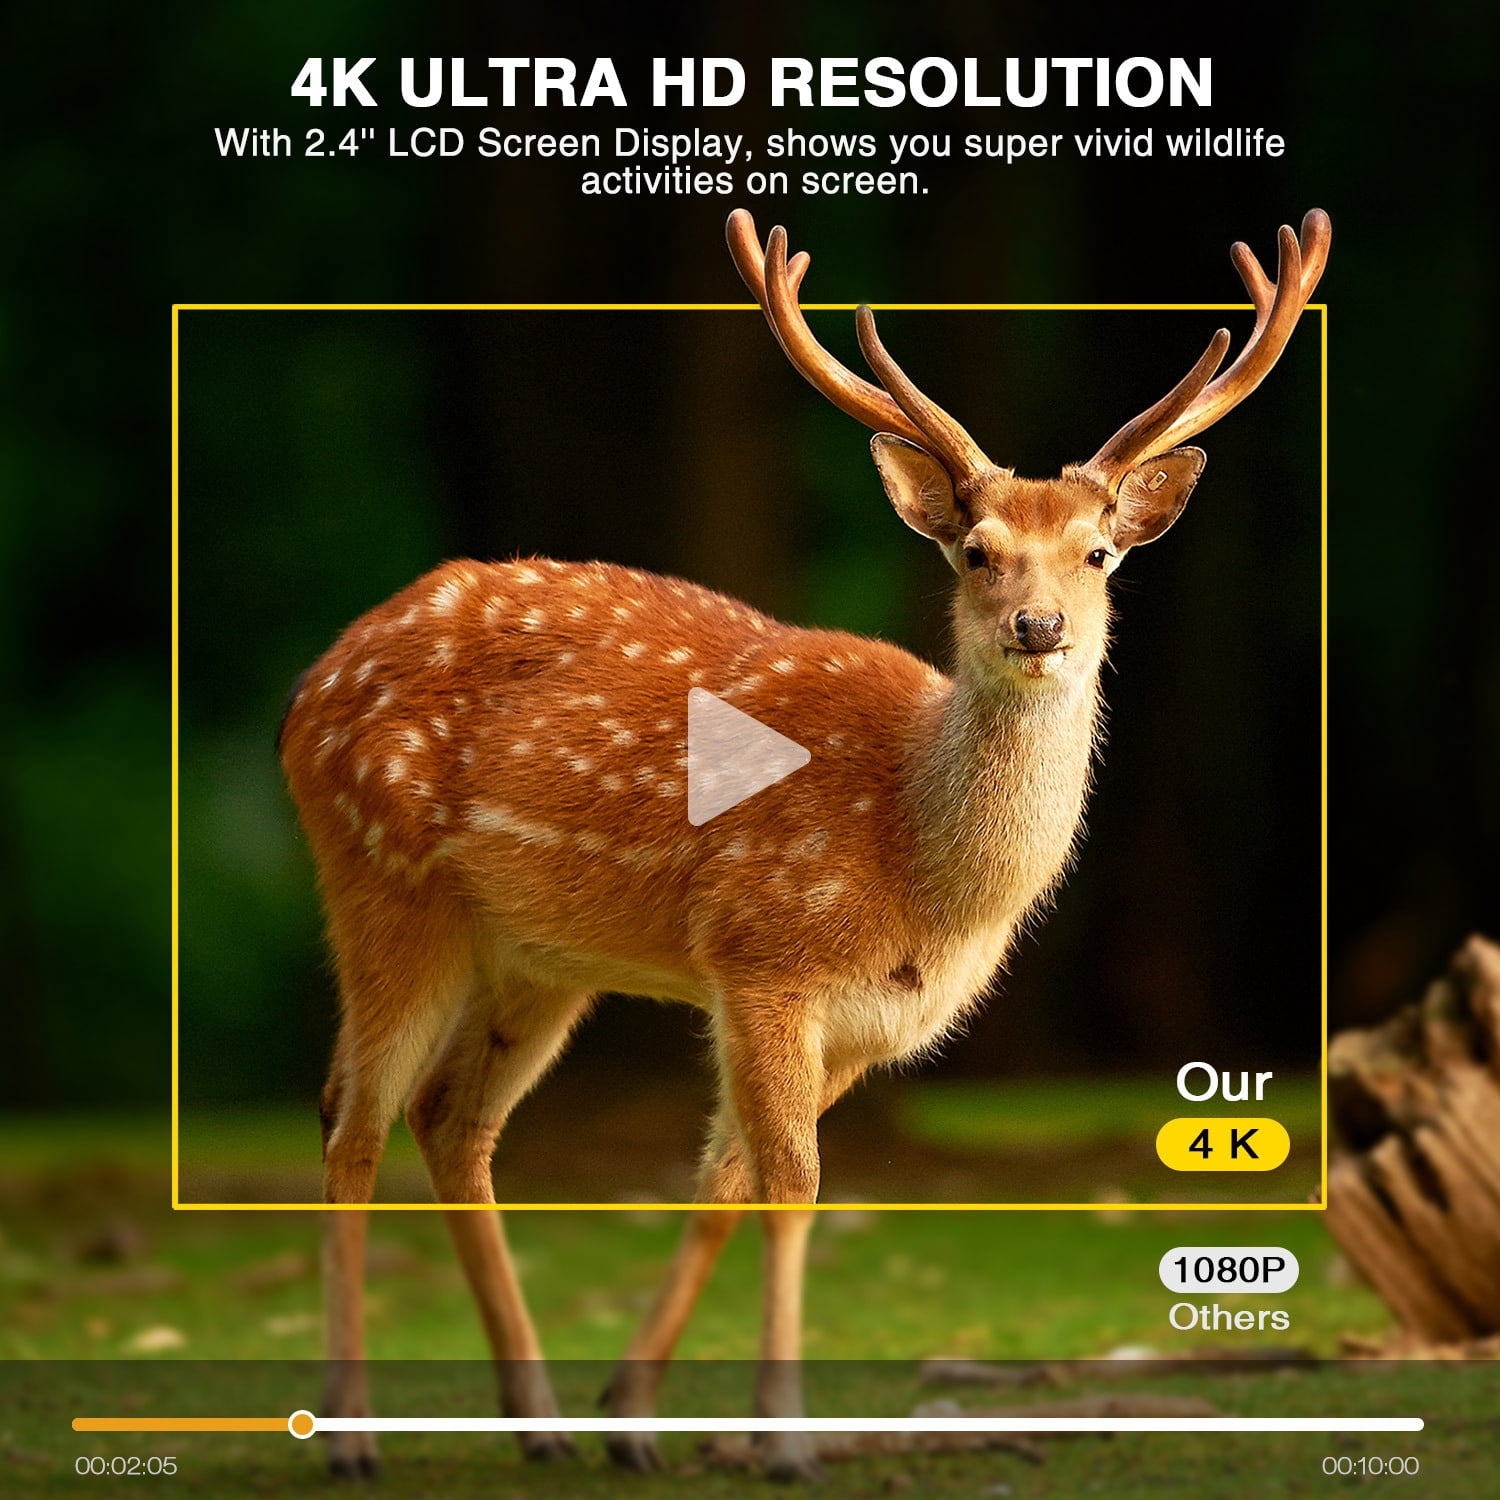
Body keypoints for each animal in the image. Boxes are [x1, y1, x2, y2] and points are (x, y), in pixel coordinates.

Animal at [278, 205, 1329, 1482]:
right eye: (976, 550)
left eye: (1098, 551)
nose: (1039, 626)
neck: (923, 875)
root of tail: (310, 686)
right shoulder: (763, 958)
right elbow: (792, 1187)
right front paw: (780, 1440)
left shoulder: (864, 1026)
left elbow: (725, 1183)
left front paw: (631, 1417)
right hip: (380, 881)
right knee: (351, 1119)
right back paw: (350, 1437)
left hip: (537, 959)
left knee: (451, 1119)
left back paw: (540, 1423)